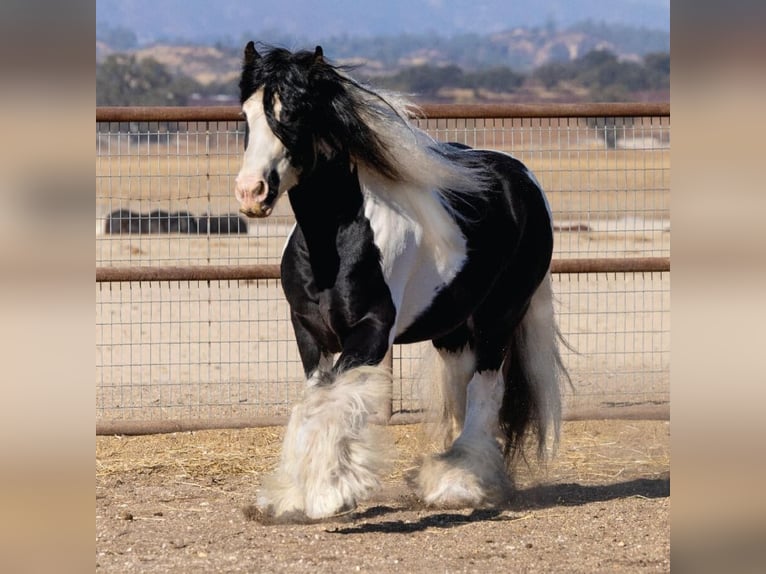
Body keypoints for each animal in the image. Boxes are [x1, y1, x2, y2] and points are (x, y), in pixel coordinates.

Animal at [237, 42, 568, 524]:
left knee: (486, 391)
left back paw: (459, 483)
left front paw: (329, 492)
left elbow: (336, 405)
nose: (251, 193)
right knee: (460, 391)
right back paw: (446, 475)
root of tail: (523, 179)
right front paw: (294, 495)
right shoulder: (308, 333)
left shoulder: (372, 332)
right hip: (453, 330)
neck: (332, 246)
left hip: (499, 319)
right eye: (246, 115)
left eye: (295, 113)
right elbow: (313, 404)